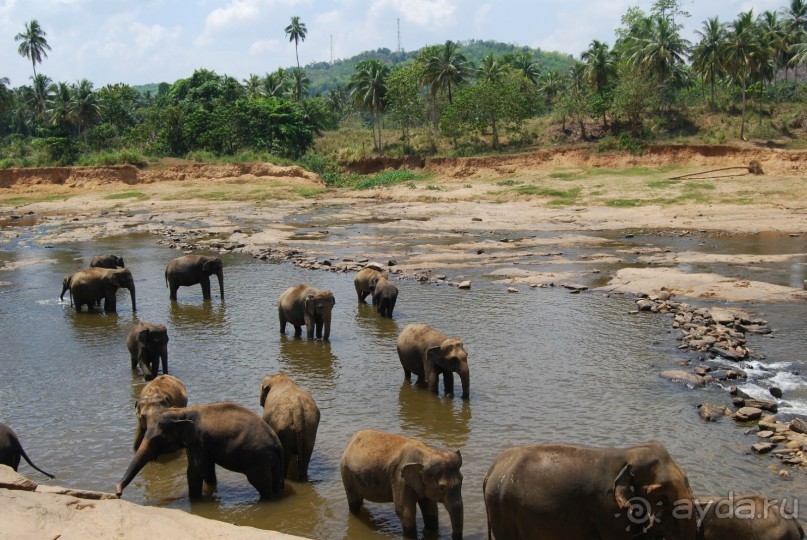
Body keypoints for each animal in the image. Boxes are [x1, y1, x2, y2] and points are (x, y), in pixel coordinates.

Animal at [117, 402, 284, 500]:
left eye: (159, 439)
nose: (117, 493)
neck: (181, 412)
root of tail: (277, 444)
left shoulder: (199, 441)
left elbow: (197, 470)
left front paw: (195, 500)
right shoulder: (197, 443)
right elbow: (207, 470)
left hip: (258, 459)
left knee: (261, 483)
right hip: (271, 460)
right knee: (275, 482)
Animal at [340, 428, 468, 536]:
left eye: (462, 481)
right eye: (442, 488)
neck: (427, 454)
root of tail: (350, 441)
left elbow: (430, 509)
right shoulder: (399, 478)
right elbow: (404, 511)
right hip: (346, 474)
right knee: (354, 502)